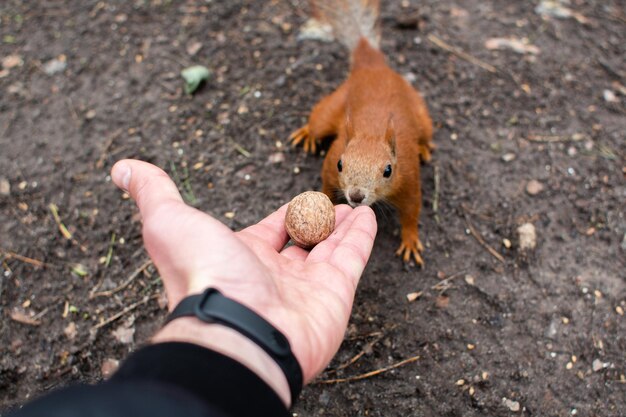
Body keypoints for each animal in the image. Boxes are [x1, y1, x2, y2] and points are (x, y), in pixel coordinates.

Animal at [290, 0, 432, 264]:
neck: (371, 133)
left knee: (426, 134)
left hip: (422, 117)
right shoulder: (329, 167)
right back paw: (306, 134)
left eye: (388, 170)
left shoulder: (408, 179)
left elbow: (412, 211)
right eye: (340, 164)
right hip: (333, 106)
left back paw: (424, 147)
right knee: (318, 121)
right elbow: (326, 187)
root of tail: (374, 68)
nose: (355, 196)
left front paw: (410, 241)